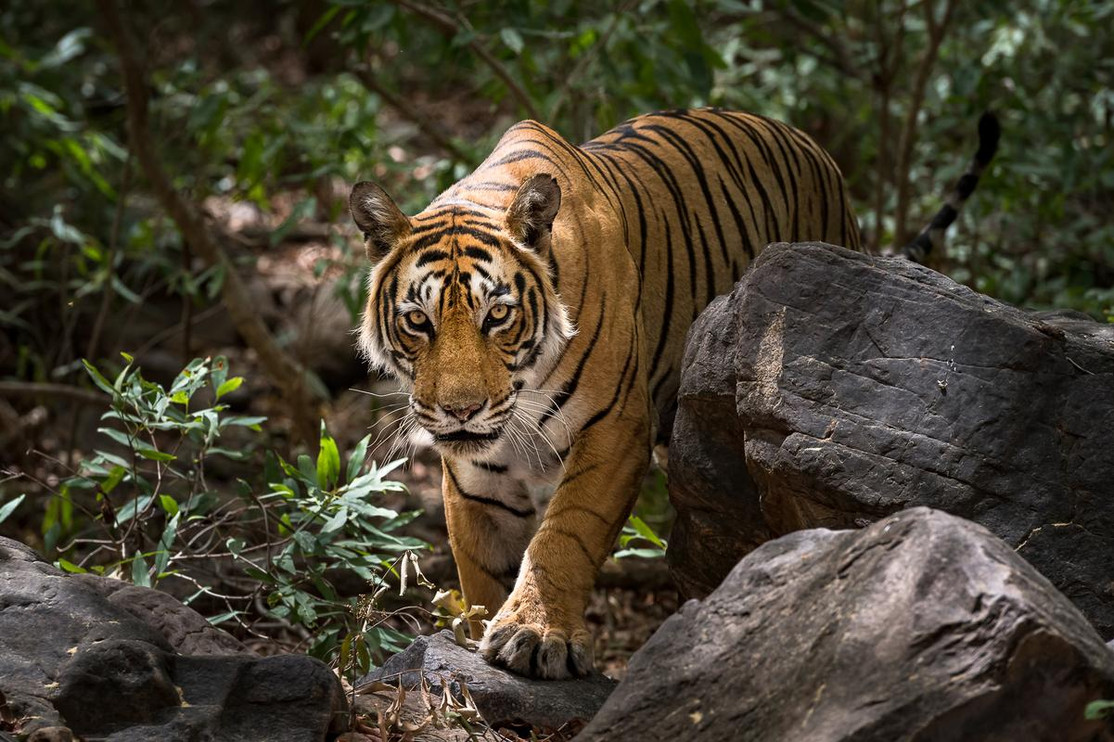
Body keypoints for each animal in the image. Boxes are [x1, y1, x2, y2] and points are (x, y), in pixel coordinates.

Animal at [350, 108, 997, 679]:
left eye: (499, 315)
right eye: (418, 321)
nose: (460, 410)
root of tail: (815, 148)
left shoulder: (615, 429)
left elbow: (565, 534)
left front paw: (535, 634)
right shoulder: (477, 470)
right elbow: (483, 564)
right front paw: (482, 632)